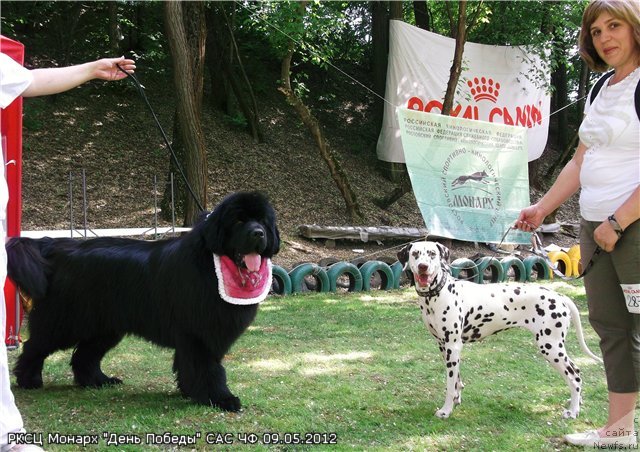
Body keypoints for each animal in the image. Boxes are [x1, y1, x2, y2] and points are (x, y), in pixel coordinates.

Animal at [6, 189, 278, 412]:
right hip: (65, 322)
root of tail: (56, 247)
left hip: (104, 326)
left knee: (85, 355)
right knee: (36, 346)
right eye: (239, 220)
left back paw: (98, 381)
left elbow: (191, 367)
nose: (258, 233)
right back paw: (29, 380)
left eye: (263, 221)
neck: (213, 264)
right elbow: (209, 369)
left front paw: (190, 391)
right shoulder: (199, 335)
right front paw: (221, 398)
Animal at [398, 242, 604, 418]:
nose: (423, 266)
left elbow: (449, 384)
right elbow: (456, 380)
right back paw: (576, 403)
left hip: (550, 347)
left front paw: (446, 410)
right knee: (576, 373)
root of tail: (560, 296)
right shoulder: (444, 347)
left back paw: (573, 411)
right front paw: (456, 400)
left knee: (574, 376)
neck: (440, 293)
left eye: (432, 254)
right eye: (415, 254)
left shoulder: (452, 347)